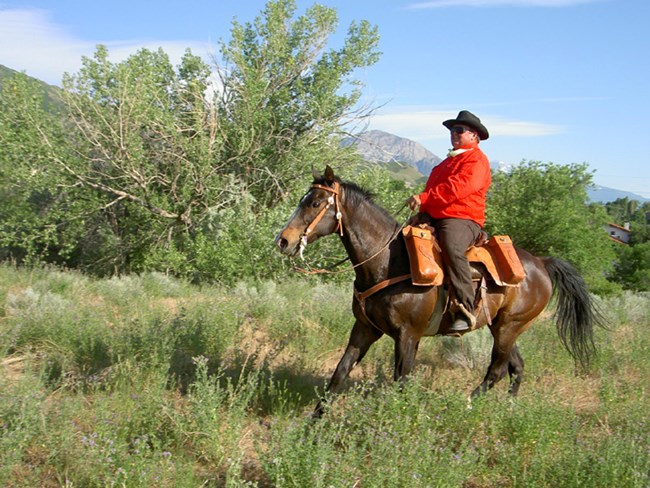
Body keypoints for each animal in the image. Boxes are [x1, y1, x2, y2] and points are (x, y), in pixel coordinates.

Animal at [274, 167, 596, 416]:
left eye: (316, 203)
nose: (283, 241)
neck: (388, 261)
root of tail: (541, 263)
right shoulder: (365, 328)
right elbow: (339, 374)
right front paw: (314, 424)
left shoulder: (408, 336)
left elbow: (401, 382)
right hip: (501, 326)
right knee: (515, 367)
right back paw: (507, 409)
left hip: (509, 327)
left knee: (496, 370)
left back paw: (466, 406)